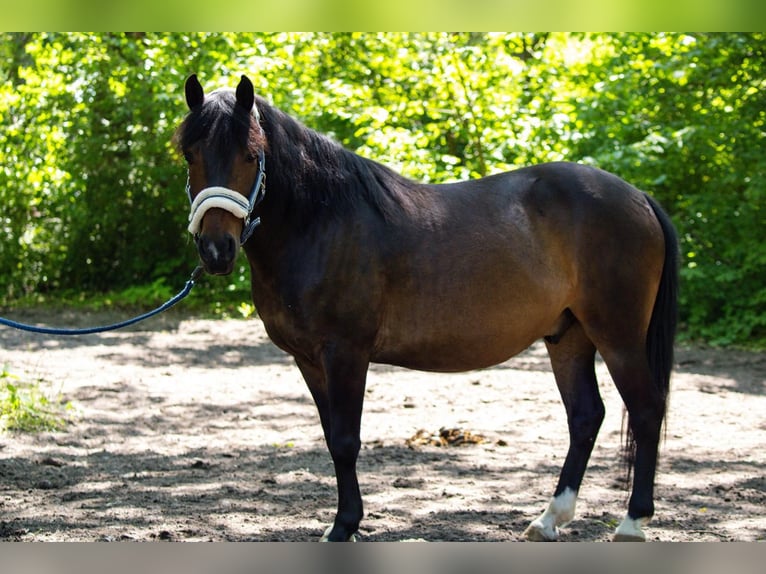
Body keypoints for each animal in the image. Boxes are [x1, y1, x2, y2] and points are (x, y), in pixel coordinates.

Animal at [175, 74, 678, 542]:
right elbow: (332, 436)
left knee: (647, 408)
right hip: (568, 336)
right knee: (586, 416)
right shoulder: (308, 359)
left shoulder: (345, 353)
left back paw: (632, 522)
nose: (216, 250)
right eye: (190, 155)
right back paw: (550, 519)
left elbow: (346, 440)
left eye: (251, 156)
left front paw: (344, 525)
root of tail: (639, 198)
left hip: (617, 336)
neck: (321, 222)